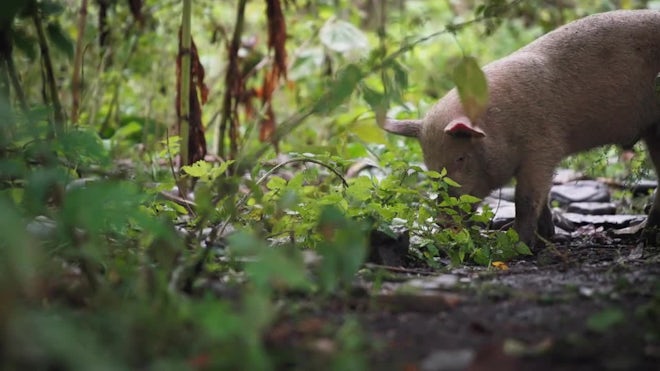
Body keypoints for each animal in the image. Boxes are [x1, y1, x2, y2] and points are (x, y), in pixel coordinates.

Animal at [384, 10, 660, 248]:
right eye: (428, 164)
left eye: (461, 158)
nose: (442, 221)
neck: (500, 126)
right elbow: (543, 197)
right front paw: (544, 237)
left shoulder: (543, 148)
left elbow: (527, 198)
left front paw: (518, 244)